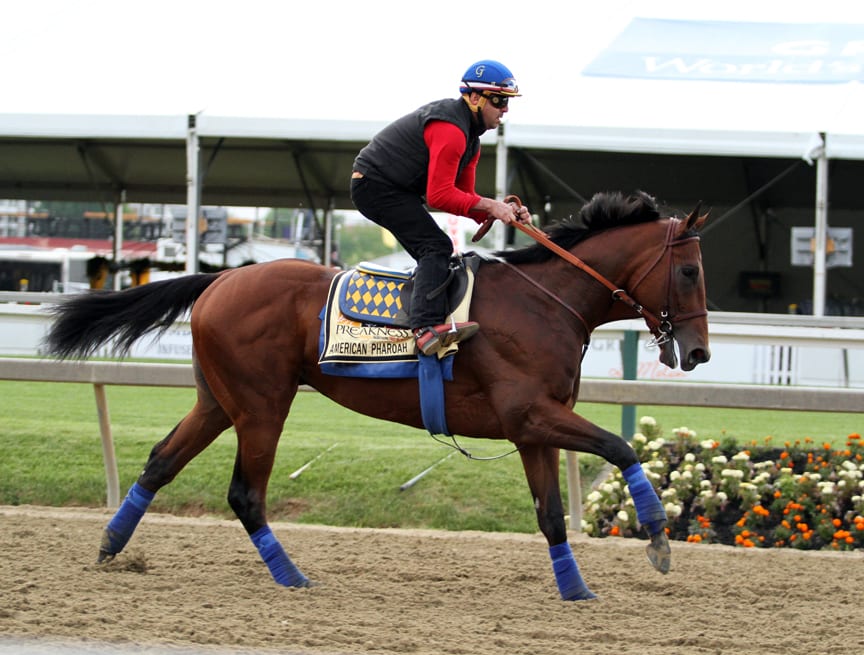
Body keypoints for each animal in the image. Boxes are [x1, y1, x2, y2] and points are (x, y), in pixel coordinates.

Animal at [44, 190, 712, 600]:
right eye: (689, 272)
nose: (700, 352)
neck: (545, 303)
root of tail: (222, 278)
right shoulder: (531, 414)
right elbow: (621, 447)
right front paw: (658, 538)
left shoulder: (531, 428)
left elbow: (550, 514)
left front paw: (576, 590)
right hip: (262, 405)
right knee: (245, 494)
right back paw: (293, 577)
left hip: (217, 401)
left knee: (160, 462)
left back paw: (110, 547)